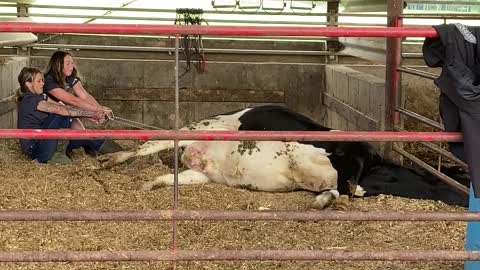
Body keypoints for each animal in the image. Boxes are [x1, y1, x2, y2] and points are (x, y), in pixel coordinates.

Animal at [99, 104, 466, 208]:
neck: (377, 171)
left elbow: (341, 189)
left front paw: (324, 200)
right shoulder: (346, 157)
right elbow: (344, 186)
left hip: (200, 171)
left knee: (173, 174)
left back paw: (149, 185)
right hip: (201, 126)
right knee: (151, 143)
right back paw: (108, 162)